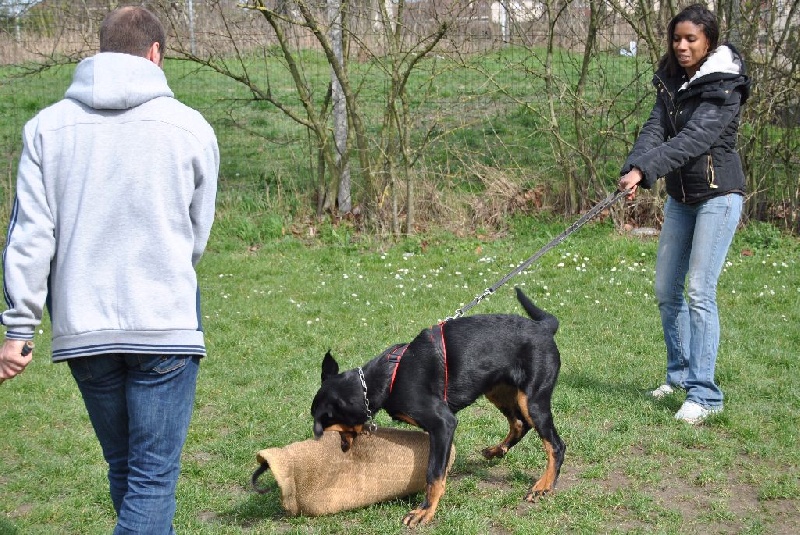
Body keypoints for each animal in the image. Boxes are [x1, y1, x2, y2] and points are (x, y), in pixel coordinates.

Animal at [310, 288, 564, 528]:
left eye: (323, 421)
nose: (340, 447)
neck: (384, 379)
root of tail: (543, 327)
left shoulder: (443, 423)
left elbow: (433, 473)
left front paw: (424, 511)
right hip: (498, 390)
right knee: (520, 423)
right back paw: (496, 451)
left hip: (532, 400)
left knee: (555, 445)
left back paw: (543, 486)